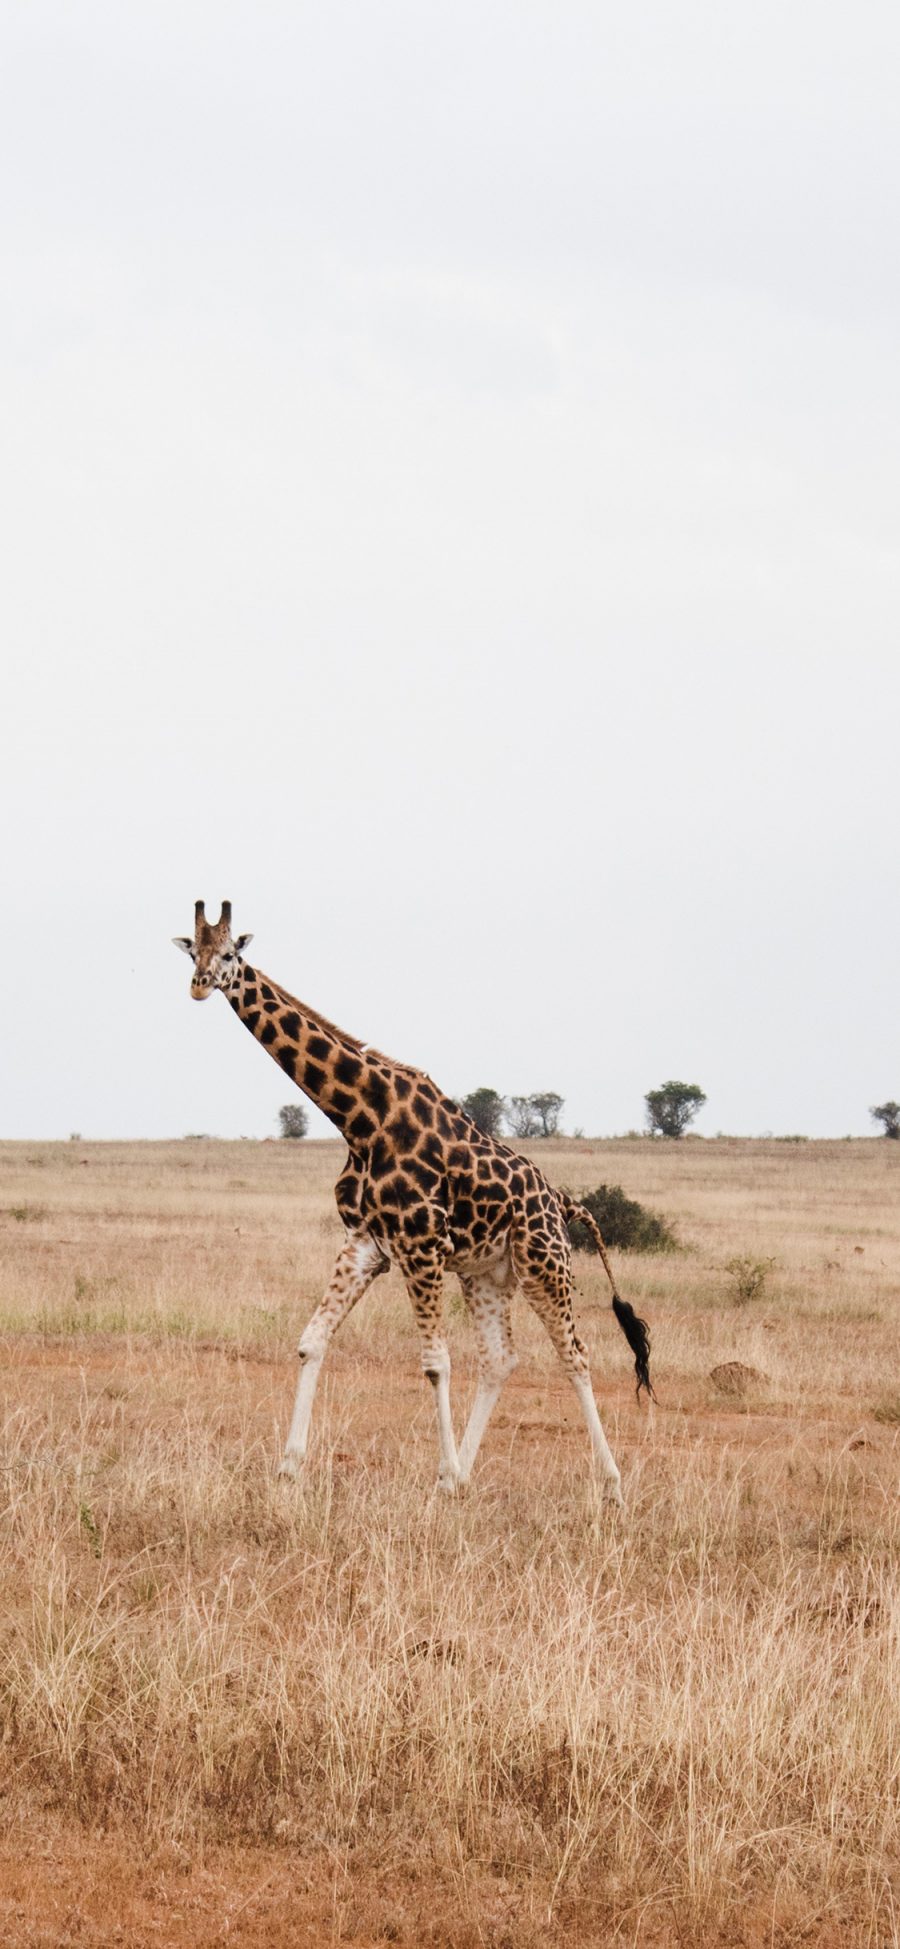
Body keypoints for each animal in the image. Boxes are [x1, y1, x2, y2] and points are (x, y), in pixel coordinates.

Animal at [174, 904, 654, 1496]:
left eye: (229, 954)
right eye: (193, 951)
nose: (200, 985)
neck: (362, 1120)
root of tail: (563, 1201)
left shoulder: (421, 1246)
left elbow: (435, 1363)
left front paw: (441, 1470)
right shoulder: (365, 1244)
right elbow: (312, 1341)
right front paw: (289, 1466)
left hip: (545, 1264)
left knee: (575, 1356)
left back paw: (609, 1483)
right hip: (487, 1274)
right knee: (500, 1360)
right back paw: (466, 1475)